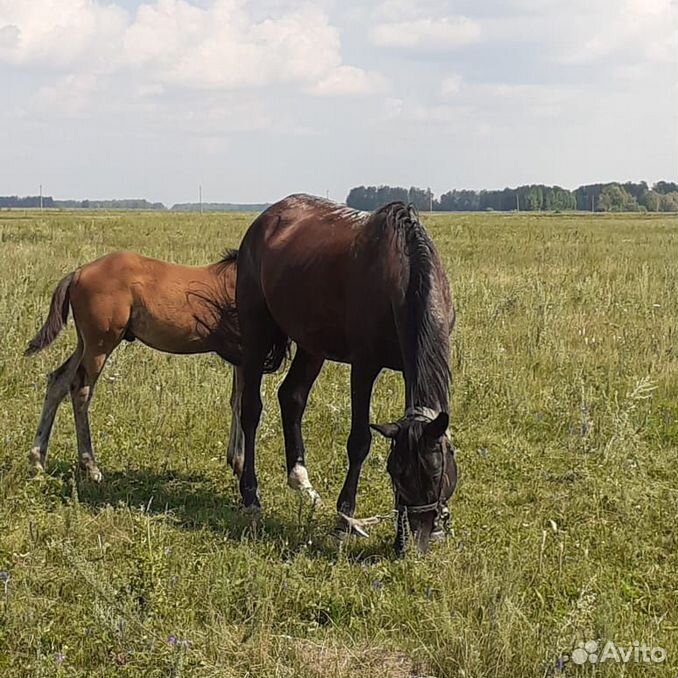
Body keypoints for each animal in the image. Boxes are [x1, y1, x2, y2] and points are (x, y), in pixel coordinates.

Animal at [236, 194, 460, 556]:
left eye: (436, 472)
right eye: (396, 474)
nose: (411, 543)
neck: (403, 273)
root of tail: (266, 219)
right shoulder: (364, 366)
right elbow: (359, 441)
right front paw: (344, 520)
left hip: (311, 344)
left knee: (292, 397)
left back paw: (303, 484)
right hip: (256, 328)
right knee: (251, 409)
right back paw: (250, 496)